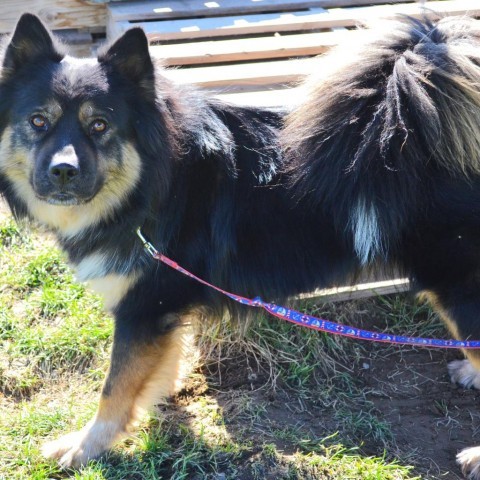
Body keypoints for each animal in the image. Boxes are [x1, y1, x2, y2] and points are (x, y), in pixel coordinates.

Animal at [2, 12, 480, 480]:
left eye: (99, 125)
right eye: (38, 121)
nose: (63, 170)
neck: (153, 184)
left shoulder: (144, 308)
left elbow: (114, 387)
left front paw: (85, 447)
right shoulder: (162, 313)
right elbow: (154, 368)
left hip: (458, 287)